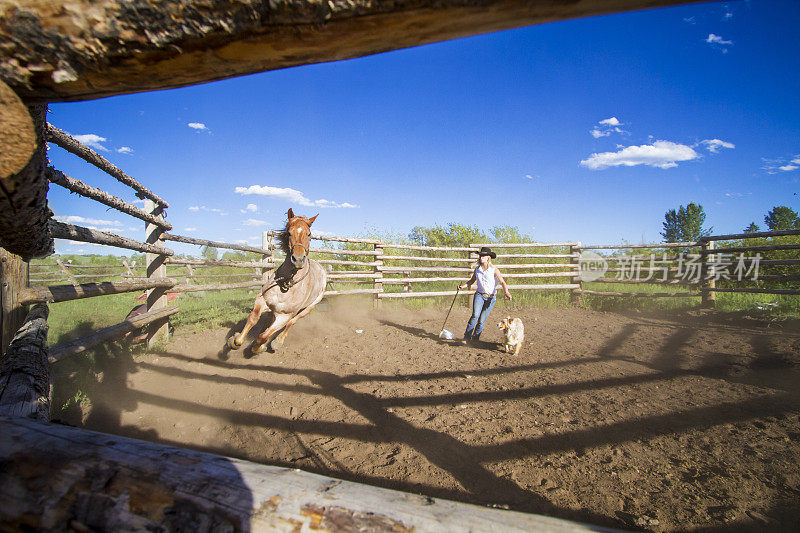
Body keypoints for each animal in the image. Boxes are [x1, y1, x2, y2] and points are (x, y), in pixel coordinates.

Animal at [227, 208, 326, 354]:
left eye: (309, 234)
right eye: (289, 233)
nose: (298, 259)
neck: (287, 284)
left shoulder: (285, 316)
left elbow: (264, 335)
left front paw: (259, 347)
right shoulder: (262, 299)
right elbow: (253, 319)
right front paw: (235, 341)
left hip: (308, 308)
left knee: (291, 322)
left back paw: (277, 342)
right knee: (269, 320)